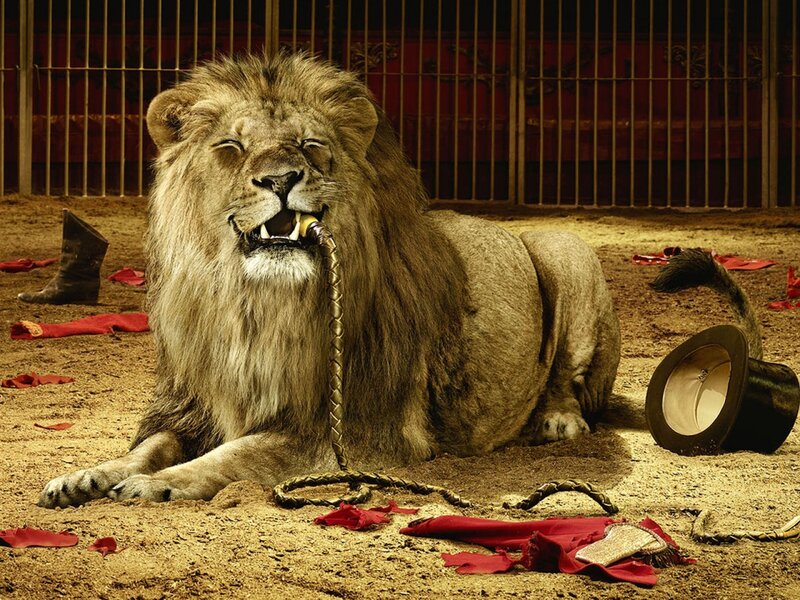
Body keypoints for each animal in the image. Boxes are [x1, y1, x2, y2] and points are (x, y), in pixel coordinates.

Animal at [38, 52, 620, 508]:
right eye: (231, 147)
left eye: (310, 144)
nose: (280, 179)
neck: (255, 306)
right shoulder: (191, 404)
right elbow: (148, 447)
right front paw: (88, 476)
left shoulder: (356, 431)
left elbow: (238, 455)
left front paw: (158, 483)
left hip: (565, 250)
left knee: (569, 378)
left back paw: (558, 422)